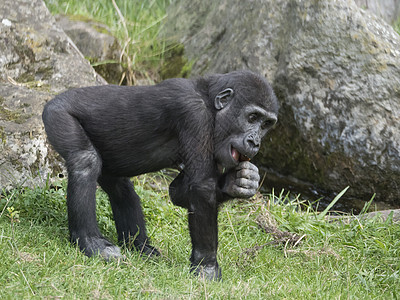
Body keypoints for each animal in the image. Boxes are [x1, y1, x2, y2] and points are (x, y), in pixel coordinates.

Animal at [41, 71, 278, 282]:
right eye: (252, 117)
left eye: (266, 124)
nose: (255, 142)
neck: (210, 101)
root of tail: (51, 100)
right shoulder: (194, 113)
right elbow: (201, 188)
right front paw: (207, 266)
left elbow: (179, 192)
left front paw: (237, 182)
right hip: (57, 115)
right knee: (85, 161)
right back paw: (90, 241)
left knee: (121, 189)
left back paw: (138, 246)